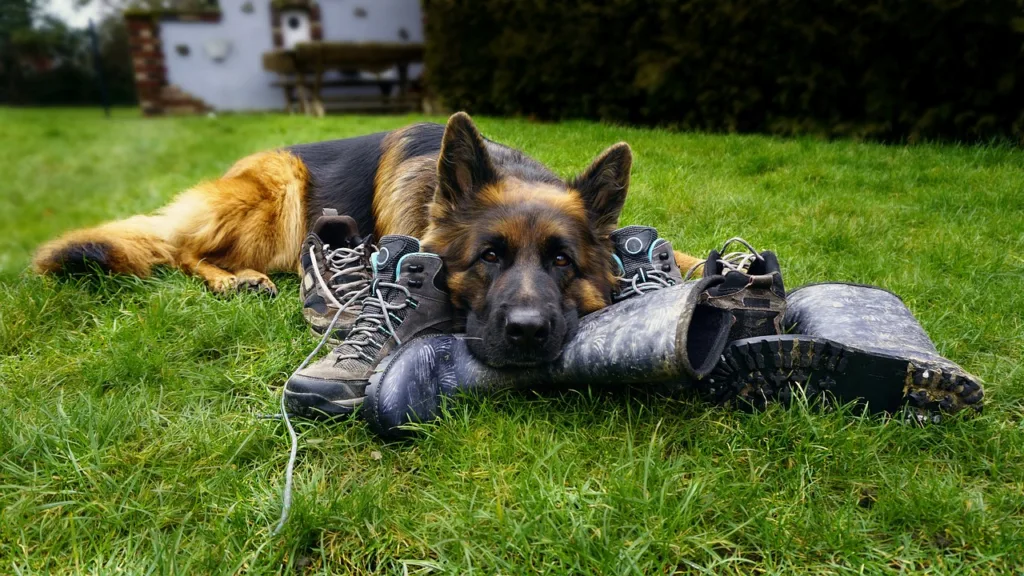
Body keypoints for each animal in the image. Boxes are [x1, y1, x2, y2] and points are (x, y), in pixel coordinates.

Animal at [34, 112, 704, 362]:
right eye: (488, 257)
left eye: (563, 262)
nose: (526, 333)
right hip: (280, 189)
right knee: (183, 249)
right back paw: (235, 278)